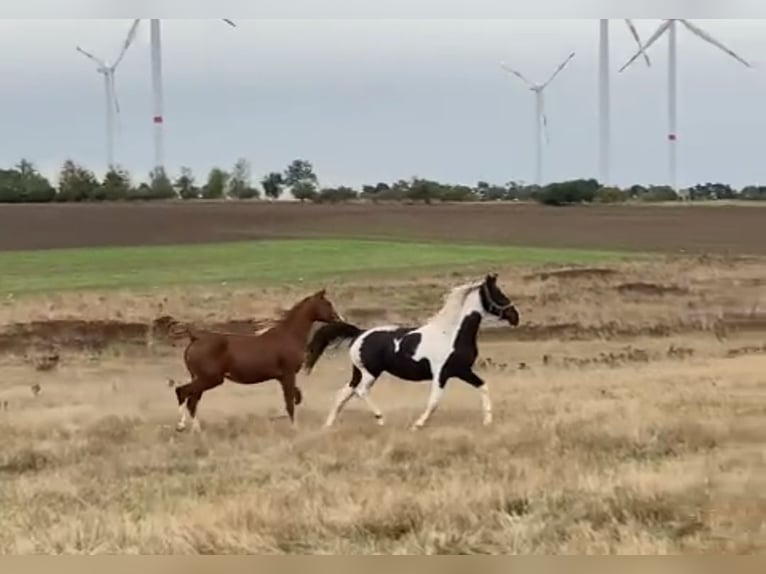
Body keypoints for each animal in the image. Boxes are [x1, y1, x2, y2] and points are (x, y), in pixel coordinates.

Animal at [172, 290, 344, 434]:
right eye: (327, 304)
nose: (339, 319)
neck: (289, 336)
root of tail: (195, 338)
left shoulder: (282, 377)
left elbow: (295, 397)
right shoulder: (288, 374)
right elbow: (290, 402)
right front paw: (294, 428)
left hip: (201, 379)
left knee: (192, 401)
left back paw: (197, 430)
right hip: (210, 379)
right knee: (182, 392)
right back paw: (181, 426)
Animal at [304, 276, 520, 432]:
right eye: (499, 294)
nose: (515, 317)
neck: (451, 334)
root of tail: (359, 333)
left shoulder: (462, 371)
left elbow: (483, 386)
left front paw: (488, 421)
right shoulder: (441, 374)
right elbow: (434, 401)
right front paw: (418, 424)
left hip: (358, 372)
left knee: (343, 393)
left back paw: (328, 425)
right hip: (370, 373)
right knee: (360, 391)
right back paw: (381, 419)